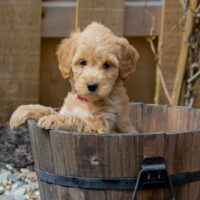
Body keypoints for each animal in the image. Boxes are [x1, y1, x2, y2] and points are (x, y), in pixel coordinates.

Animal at [9, 22, 139, 134]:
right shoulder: (67, 110)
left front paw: (52, 119)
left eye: (107, 65)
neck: (86, 101)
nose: (92, 86)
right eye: (83, 62)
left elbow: (74, 119)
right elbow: (50, 110)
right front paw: (22, 111)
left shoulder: (100, 126)